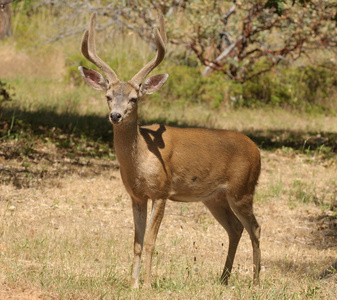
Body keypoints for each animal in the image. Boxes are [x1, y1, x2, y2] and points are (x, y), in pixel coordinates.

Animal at [78, 12, 260, 288]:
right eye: (108, 96)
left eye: (134, 98)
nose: (115, 115)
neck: (141, 158)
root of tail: (257, 150)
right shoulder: (137, 195)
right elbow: (137, 242)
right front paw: (132, 284)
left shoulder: (162, 191)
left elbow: (151, 242)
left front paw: (147, 284)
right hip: (215, 197)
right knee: (235, 228)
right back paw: (223, 278)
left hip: (243, 189)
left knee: (255, 227)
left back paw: (256, 282)